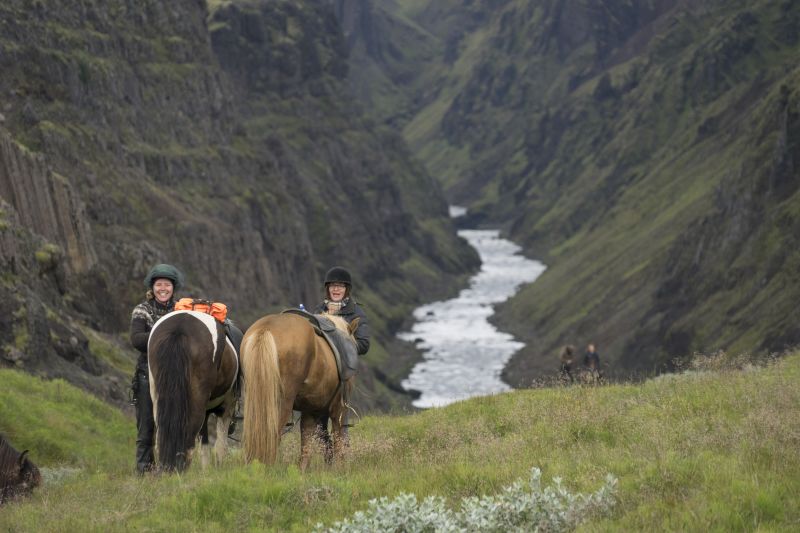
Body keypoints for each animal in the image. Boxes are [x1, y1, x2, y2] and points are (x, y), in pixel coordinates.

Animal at [148, 310, 238, 472]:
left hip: (157, 396)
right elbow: (220, 445)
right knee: (189, 440)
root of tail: (180, 327)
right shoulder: (227, 406)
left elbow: (205, 444)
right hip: (197, 399)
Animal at [241, 312, 360, 470]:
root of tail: (265, 329)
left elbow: (306, 441)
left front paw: (302, 470)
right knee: (273, 434)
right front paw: (339, 468)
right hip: (281, 403)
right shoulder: (339, 408)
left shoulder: (310, 409)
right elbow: (338, 437)